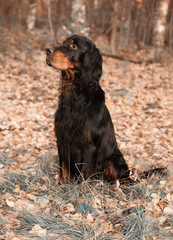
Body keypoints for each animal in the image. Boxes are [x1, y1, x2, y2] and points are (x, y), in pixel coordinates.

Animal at [45, 34, 129, 183]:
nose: (47, 50)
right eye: (63, 42)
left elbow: (86, 175)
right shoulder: (62, 139)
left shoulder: (90, 145)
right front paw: (62, 186)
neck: (76, 94)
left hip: (113, 160)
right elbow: (63, 170)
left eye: (74, 46)